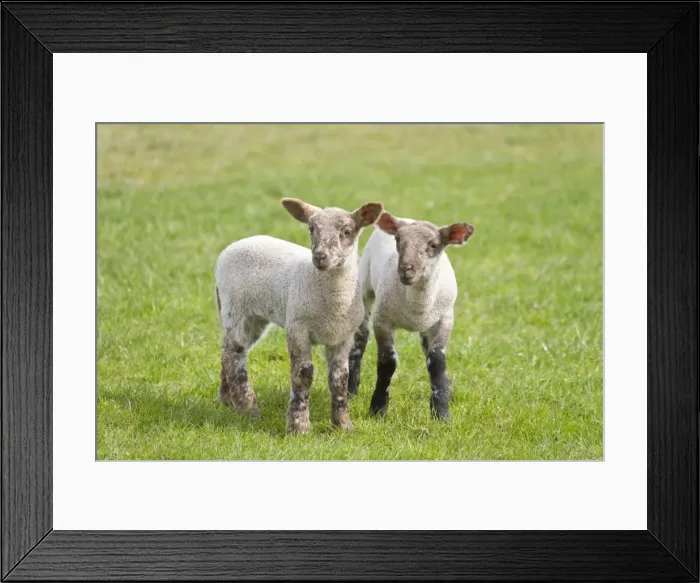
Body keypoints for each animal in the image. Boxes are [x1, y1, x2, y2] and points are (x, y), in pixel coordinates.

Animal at [214, 198, 384, 434]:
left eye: (347, 231)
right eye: (311, 229)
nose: (320, 256)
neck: (333, 304)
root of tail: (232, 246)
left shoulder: (343, 336)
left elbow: (340, 378)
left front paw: (343, 424)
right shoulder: (297, 328)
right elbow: (303, 374)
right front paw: (299, 426)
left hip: (253, 318)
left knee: (227, 349)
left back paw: (227, 400)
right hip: (236, 308)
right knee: (234, 354)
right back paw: (248, 409)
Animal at [348, 211, 475, 421]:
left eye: (433, 245)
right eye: (398, 240)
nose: (406, 268)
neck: (415, 304)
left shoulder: (445, 320)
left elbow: (437, 361)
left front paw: (441, 412)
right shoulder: (383, 320)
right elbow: (387, 362)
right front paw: (378, 409)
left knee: (426, 348)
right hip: (364, 286)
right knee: (360, 339)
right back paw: (350, 389)